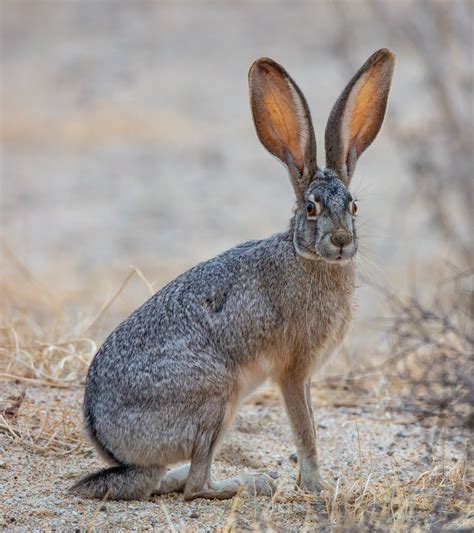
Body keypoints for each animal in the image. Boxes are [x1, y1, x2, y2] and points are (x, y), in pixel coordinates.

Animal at [70, 47, 394, 500]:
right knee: (197, 485)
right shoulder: (292, 371)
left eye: (354, 206)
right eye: (311, 207)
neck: (307, 256)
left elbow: (311, 422)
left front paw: (309, 483)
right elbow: (305, 431)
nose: (343, 241)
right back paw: (250, 483)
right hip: (217, 395)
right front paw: (316, 487)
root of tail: (113, 444)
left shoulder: (306, 375)